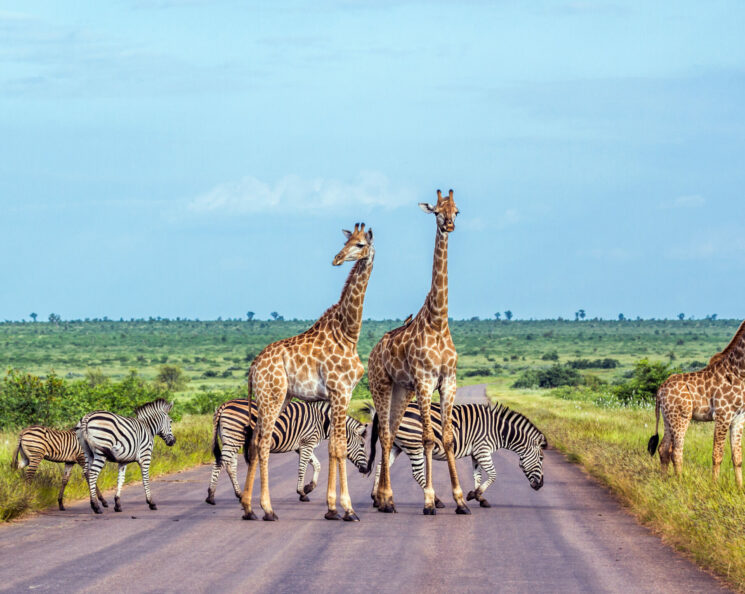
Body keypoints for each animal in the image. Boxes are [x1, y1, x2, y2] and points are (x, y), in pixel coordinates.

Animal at [240, 223, 374, 521]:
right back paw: (268, 509)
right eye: (347, 242)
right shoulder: (341, 391)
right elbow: (338, 447)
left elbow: (334, 448)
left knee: (254, 442)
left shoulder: (338, 395)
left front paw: (332, 508)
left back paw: (248, 507)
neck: (349, 333)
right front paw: (347, 509)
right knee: (263, 443)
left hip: (277, 398)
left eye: (360, 244)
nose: (337, 258)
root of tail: (253, 368)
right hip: (272, 396)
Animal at [367, 189, 469, 515]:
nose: (449, 225)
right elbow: (427, 438)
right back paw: (386, 498)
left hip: (403, 390)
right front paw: (428, 500)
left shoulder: (448, 381)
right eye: (437, 211)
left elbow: (446, 438)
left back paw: (384, 499)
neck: (438, 321)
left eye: (456, 210)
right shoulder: (425, 381)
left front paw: (460, 500)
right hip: (382, 385)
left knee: (390, 432)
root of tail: (374, 351)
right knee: (385, 435)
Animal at [648, 320, 745, 486]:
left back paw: (664, 480)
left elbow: (737, 457)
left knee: (663, 448)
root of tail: (660, 389)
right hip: (682, 417)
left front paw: (739, 488)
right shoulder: (723, 415)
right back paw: (679, 482)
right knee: (676, 451)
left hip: (668, 418)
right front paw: (714, 486)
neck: (740, 372)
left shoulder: (739, 418)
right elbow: (717, 455)